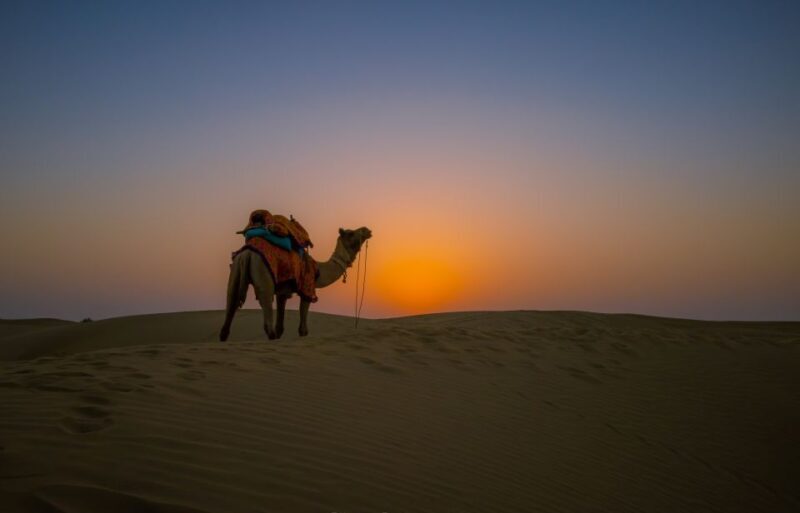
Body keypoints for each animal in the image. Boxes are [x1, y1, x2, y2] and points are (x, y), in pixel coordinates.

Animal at [219, 227, 372, 341]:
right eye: (351, 233)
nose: (367, 229)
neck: (318, 270)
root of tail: (247, 254)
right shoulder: (307, 288)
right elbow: (303, 329)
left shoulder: (283, 291)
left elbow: (280, 327)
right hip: (263, 276)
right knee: (267, 319)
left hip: (236, 269)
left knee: (229, 308)